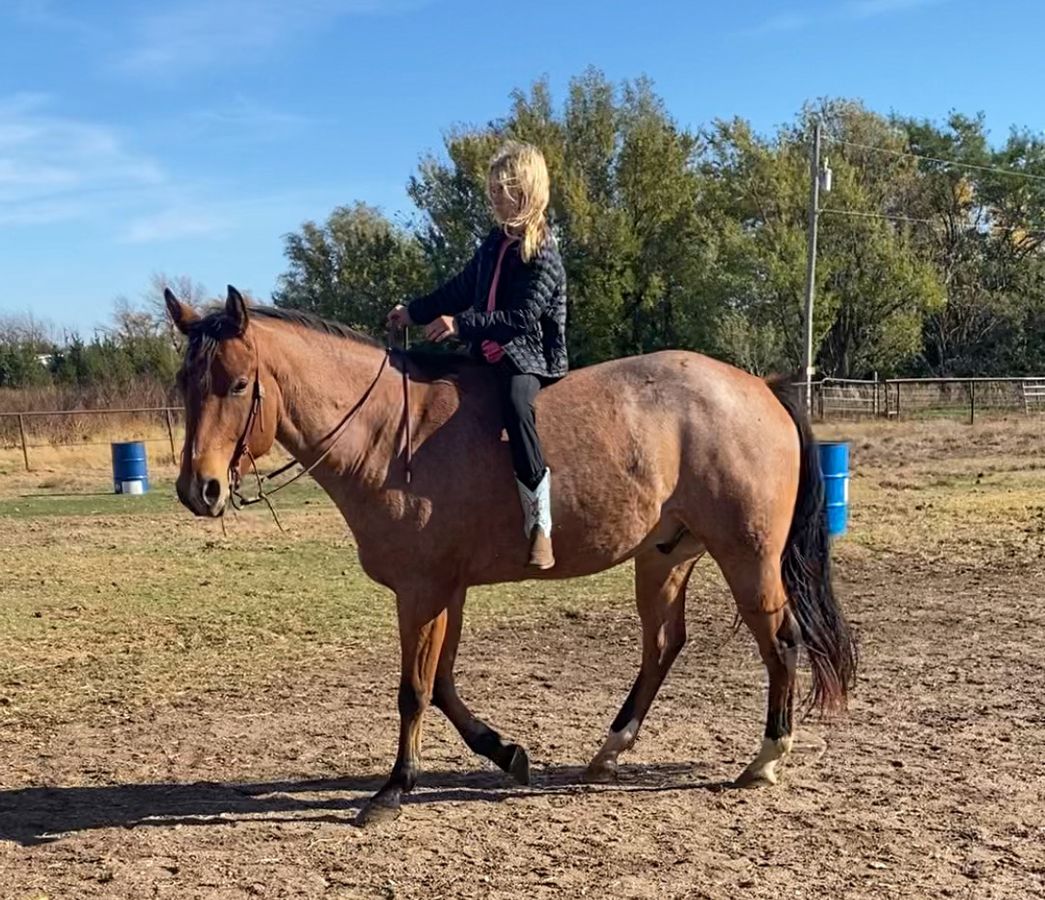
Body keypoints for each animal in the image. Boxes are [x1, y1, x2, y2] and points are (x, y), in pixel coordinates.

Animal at [164, 285, 856, 826]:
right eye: (185, 385)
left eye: (238, 384)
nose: (200, 490)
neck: (390, 435)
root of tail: (760, 388)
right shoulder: (447, 590)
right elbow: (443, 683)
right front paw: (505, 752)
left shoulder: (421, 591)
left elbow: (414, 690)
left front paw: (393, 789)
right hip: (665, 556)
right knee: (663, 644)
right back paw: (611, 749)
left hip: (747, 556)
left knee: (781, 641)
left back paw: (766, 758)